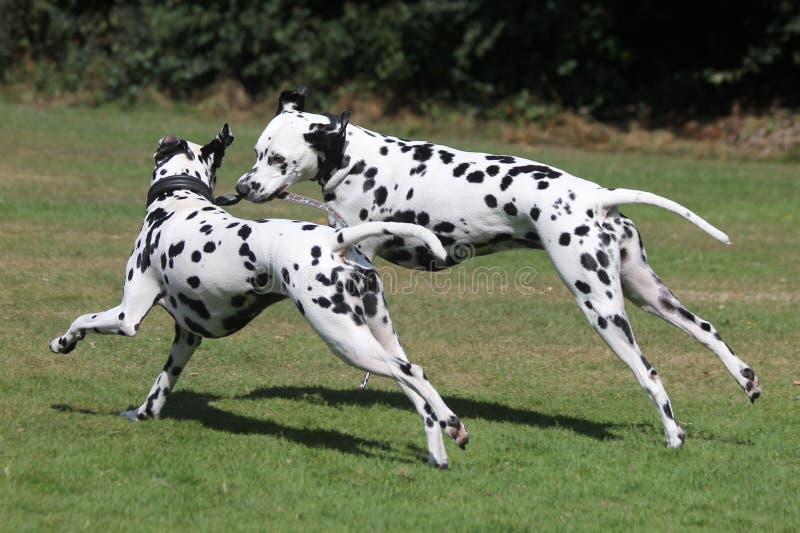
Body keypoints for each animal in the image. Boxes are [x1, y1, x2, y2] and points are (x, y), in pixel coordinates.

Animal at [48, 123, 468, 466]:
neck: (179, 201)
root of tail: (333, 240)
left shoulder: (127, 316)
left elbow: (82, 319)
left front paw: (63, 342)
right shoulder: (187, 337)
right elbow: (158, 389)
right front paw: (141, 414)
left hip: (346, 340)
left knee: (411, 374)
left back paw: (448, 426)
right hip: (379, 337)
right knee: (417, 386)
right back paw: (443, 441)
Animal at [236, 88, 764, 448]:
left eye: (277, 158)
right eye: (257, 152)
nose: (242, 187)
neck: (356, 158)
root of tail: (596, 196)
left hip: (602, 307)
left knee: (649, 373)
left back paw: (674, 435)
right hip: (648, 294)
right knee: (708, 331)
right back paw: (745, 379)